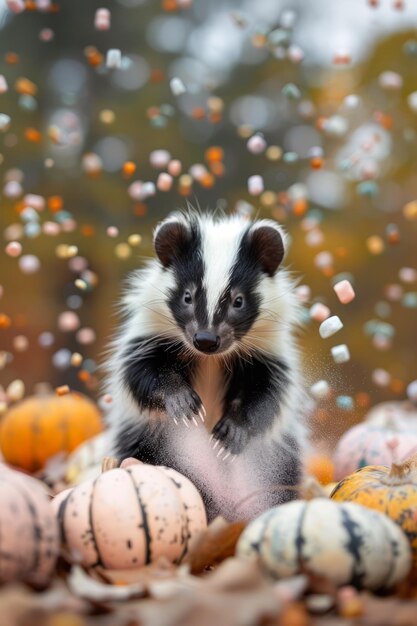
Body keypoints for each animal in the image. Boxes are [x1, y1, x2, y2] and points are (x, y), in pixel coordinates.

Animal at [104, 212, 306, 520]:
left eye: (238, 300)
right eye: (187, 296)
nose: (206, 339)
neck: (211, 360)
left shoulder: (267, 354)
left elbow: (266, 395)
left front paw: (231, 434)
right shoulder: (148, 338)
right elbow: (143, 373)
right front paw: (183, 404)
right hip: (145, 436)